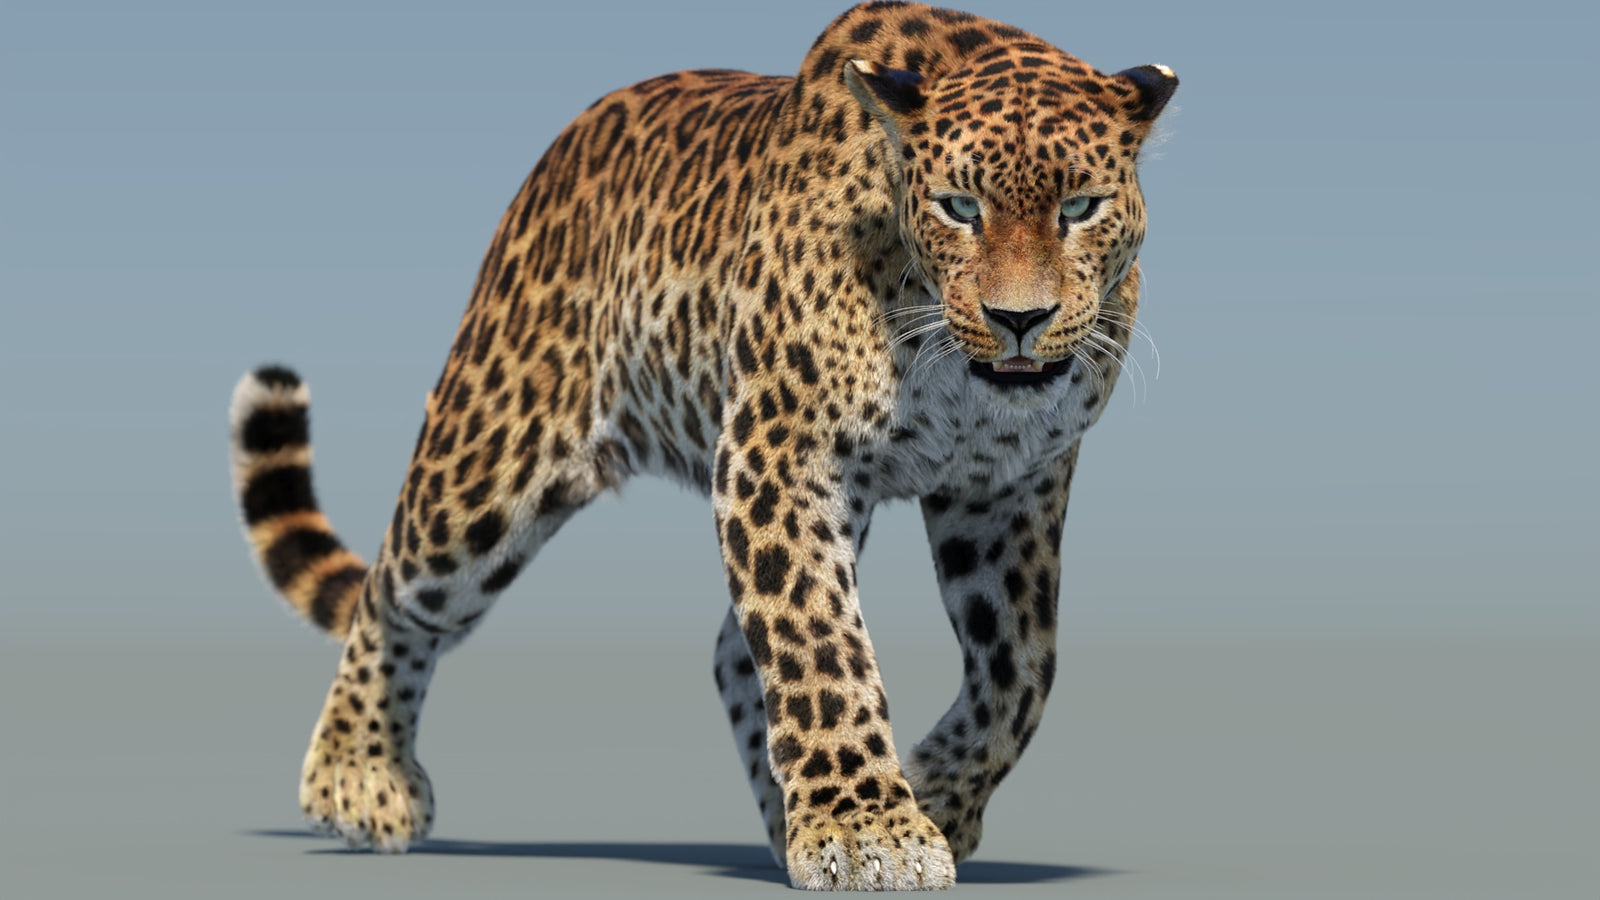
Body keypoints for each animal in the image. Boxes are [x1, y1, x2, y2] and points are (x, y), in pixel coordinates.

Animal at [228, 2, 1176, 890]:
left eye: (1080, 208)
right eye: (959, 208)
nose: (1021, 320)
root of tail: (558, 154)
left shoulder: (1007, 489)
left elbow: (1022, 664)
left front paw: (932, 791)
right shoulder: (778, 452)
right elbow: (817, 637)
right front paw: (868, 829)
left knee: (729, 651)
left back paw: (784, 821)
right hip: (490, 461)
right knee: (394, 587)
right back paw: (357, 776)